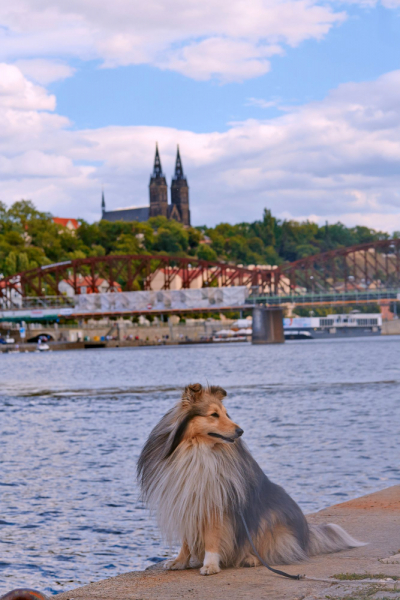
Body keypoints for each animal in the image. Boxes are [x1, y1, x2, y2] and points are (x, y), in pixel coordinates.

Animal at [138, 384, 366, 576]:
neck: (197, 449)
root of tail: (306, 537)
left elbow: (212, 537)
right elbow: (186, 540)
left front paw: (210, 565)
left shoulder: (215, 503)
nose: (240, 431)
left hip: (269, 517)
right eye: (214, 414)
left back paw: (251, 558)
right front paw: (179, 561)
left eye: (226, 414)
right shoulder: (186, 501)